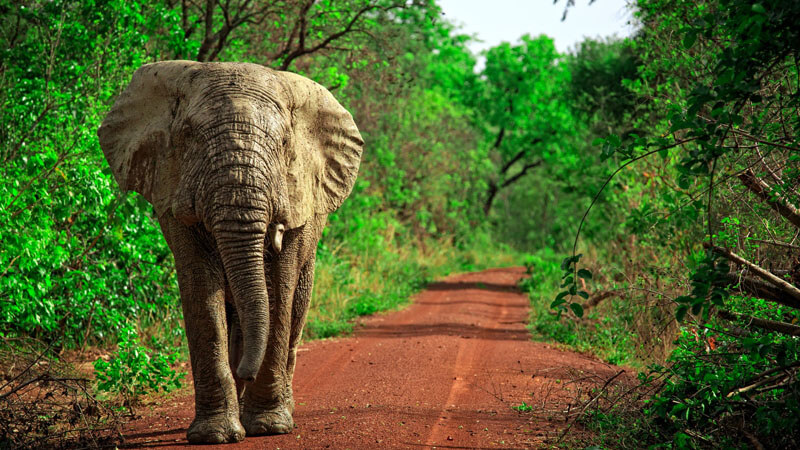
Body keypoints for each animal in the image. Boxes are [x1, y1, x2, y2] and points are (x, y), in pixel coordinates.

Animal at [95, 61, 364, 444]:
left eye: (285, 143)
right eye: (189, 134)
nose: (246, 372)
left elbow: (278, 292)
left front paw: (268, 428)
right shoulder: (171, 188)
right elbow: (202, 294)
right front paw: (215, 435)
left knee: (295, 308)